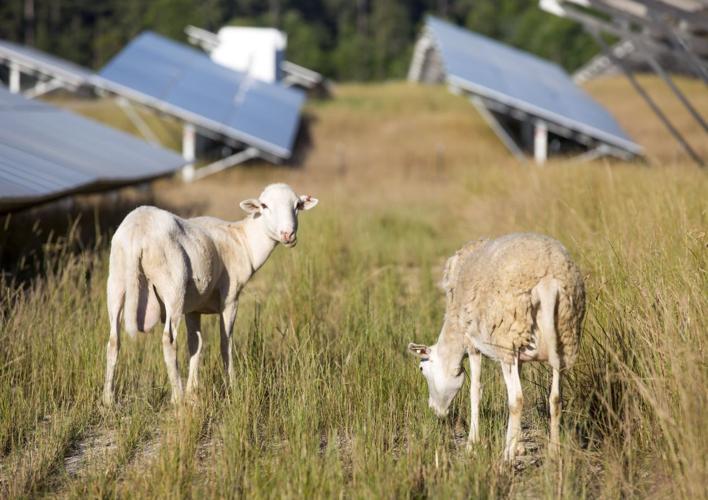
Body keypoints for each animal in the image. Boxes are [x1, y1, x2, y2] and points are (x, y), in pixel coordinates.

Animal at [103, 183, 318, 407]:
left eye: (297, 205)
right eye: (265, 206)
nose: (288, 234)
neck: (243, 241)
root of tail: (137, 231)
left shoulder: (193, 307)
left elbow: (195, 344)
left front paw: (193, 391)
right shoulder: (230, 298)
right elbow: (226, 343)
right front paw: (232, 387)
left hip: (116, 281)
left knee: (113, 341)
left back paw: (108, 399)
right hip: (173, 285)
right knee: (168, 341)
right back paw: (177, 397)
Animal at [408, 233, 585, 461]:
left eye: (422, 369)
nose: (434, 410)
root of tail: (548, 279)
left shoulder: (472, 343)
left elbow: (475, 390)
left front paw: (473, 443)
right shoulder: (520, 353)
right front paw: (519, 445)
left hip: (507, 339)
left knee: (517, 399)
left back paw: (507, 456)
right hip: (563, 337)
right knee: (555, 399)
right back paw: (554, 452)